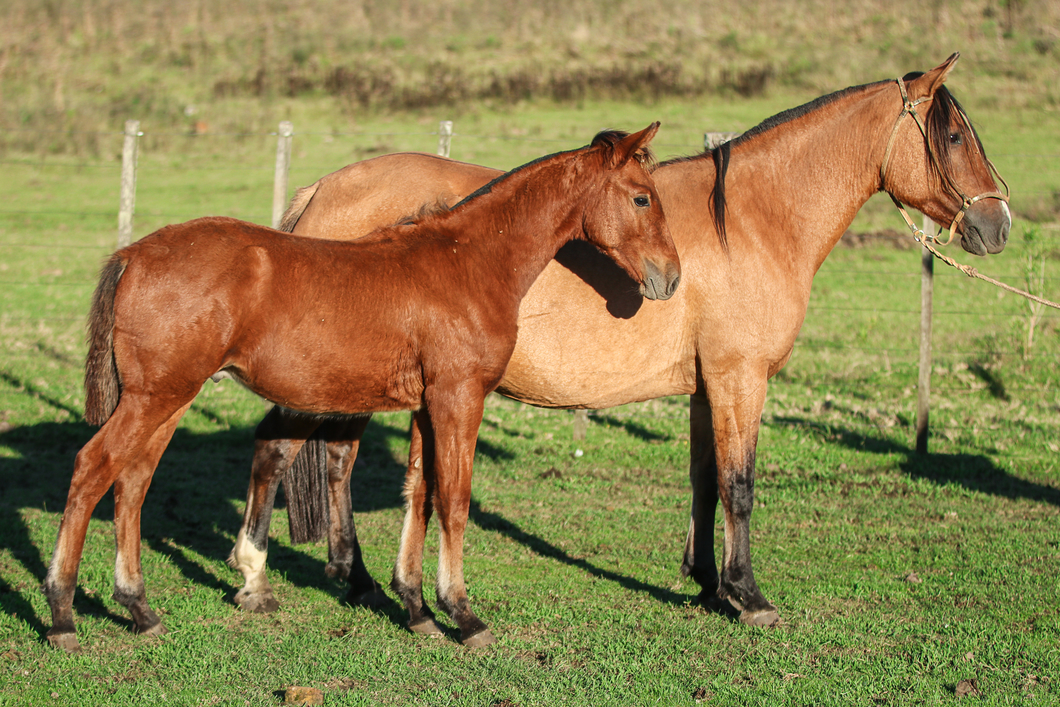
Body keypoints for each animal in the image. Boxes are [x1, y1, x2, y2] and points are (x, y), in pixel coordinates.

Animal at [41, 124, 678, 648]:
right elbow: (454, 501)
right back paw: (63, 615)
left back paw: (140, 608)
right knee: (92, 468)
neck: (467, 262)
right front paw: (463, 615)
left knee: (133, 482)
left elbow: (420, 494)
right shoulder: (459, 397)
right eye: (642, 197)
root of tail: (132, 253)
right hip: (157, 398)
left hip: (167, 399)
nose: (669, 278)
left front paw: (418, 608)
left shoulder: (428, 404)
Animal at [238, 54, 1009, 631]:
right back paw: (263, 580)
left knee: (333, 461)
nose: (997, 223)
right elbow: (741, 485)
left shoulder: (707, 385)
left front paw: (707, 583)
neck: (751, 221)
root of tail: (320, 192)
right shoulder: (740, 377)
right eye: (953, 138)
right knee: (287, 454)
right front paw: (748, 596)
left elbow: (705, 481)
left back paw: (358, 580)